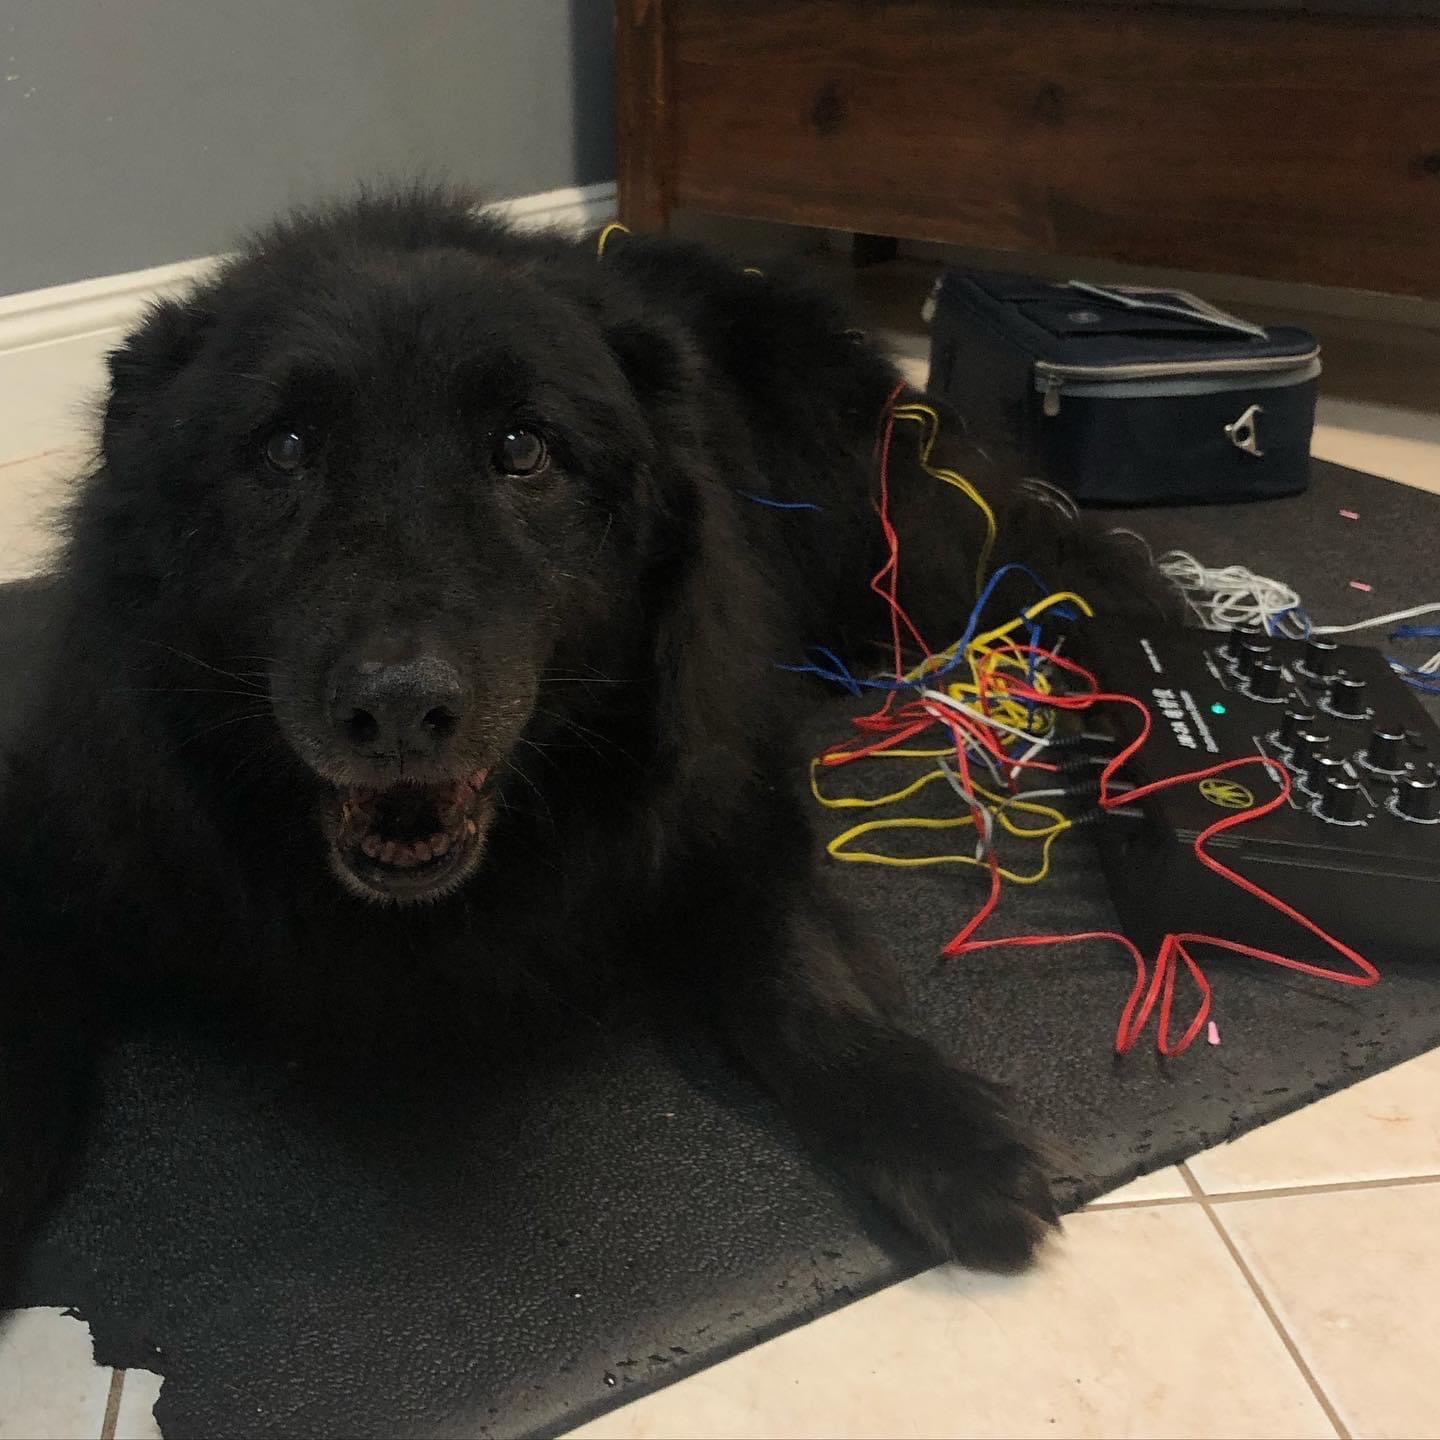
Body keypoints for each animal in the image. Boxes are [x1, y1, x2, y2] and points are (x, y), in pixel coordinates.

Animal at [0, 188, 1169, 1284]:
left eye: (524, 448)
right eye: (285, 449)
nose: (398, 709)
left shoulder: (722, 786)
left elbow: (790, 970)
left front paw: (930, 1127)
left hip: (894, 553)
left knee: (1067, 574)